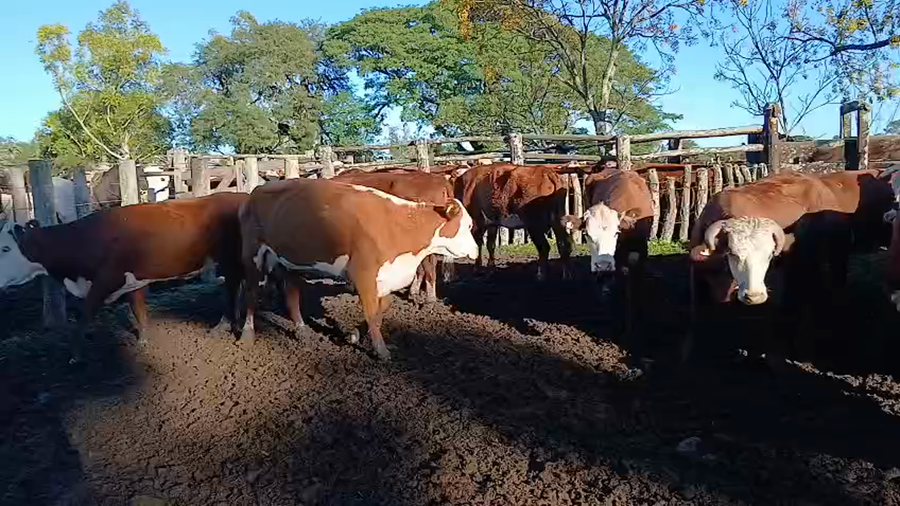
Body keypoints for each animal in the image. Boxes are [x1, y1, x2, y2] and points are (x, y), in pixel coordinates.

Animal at [0, 192, 248, 352]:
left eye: (5, 248)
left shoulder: (104, 281)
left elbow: (84, 318)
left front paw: (74, 355)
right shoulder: (132, 280)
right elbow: (139, 311)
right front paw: (143, 341)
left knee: (232, 287)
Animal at [237, 177, 478, 361]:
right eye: (467, 226)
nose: (476, 251)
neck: (399, 225)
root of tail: (257, 190)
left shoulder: (385, 277)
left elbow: (383, 307)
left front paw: (353, 335)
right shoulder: (363, 274)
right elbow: (371, 312)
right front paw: (381, 351)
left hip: (289, 260)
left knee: (291, 294)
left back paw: (302, 331)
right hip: (252, 255)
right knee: (251, 293)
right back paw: (247, 335)